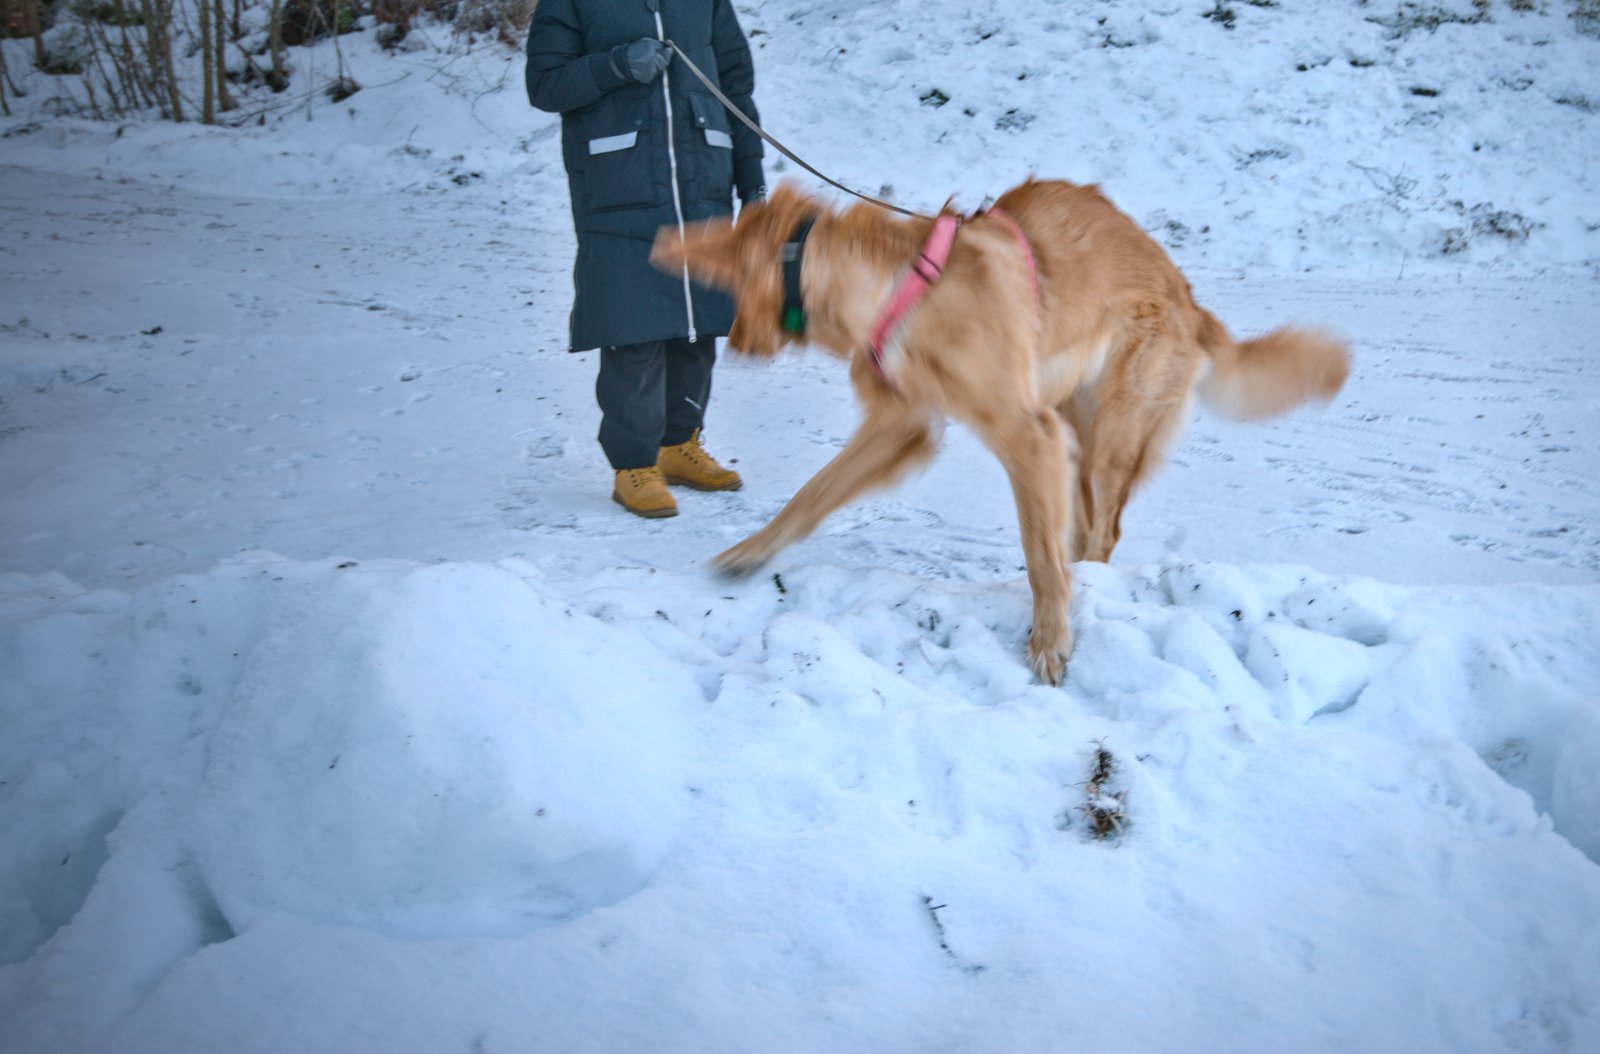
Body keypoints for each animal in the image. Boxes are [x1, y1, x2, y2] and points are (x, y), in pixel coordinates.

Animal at [649, 181, 1350, 684]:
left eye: (727, 286)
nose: (739, 346)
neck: (896, 289)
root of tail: (1188, 295)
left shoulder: (1024, 433)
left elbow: (1038, 555)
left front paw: (1049, 642)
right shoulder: (904, 427)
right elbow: (811, 495)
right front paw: (751, 553)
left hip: (1107, 436)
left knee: (1100, 530)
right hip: (1074, 431)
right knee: (1081, 528)